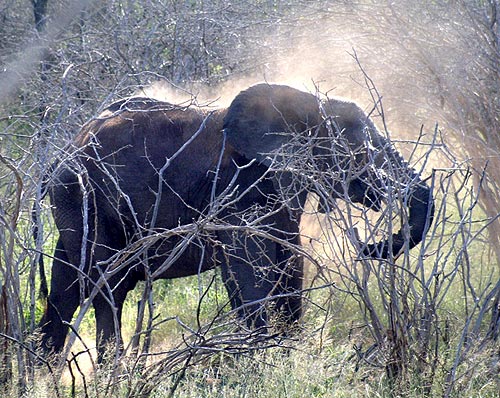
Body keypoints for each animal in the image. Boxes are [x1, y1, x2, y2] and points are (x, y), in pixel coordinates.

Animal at [35, 83, 434, 360]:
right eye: (359, 152)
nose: (369, 246)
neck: (304, 102)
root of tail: (60, 155)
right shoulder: (237, 191)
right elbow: (248, 271)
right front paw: (258, 363)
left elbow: (290, 266)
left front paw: (288, 357)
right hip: (84, 197)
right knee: (109, 288)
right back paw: (112, 372)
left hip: (73, 206)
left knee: (64, 290)